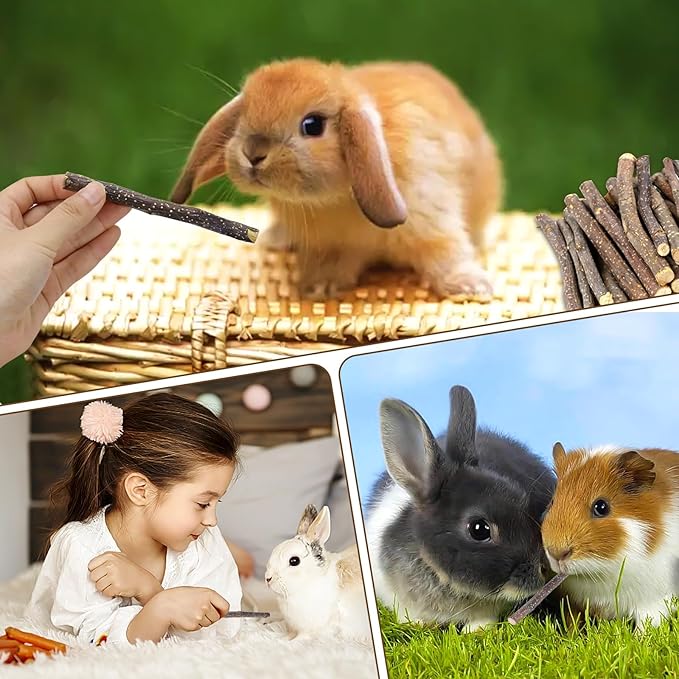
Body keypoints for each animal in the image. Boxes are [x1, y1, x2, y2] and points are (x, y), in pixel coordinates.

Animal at [170, 58, 502, 299]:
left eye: (313, 125)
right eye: (243, 117)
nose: (253, 153)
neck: (337, 197)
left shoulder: (432, 220)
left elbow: (447, 253)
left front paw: (472, 287)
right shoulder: (329, 244)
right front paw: (319, 289)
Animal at [541, 442, 679, 630]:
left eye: (601, 507)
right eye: (552, 502)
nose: (556, 553)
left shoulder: (653, 603)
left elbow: (646, 626)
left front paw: (638, 636)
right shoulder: (573, 602)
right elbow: (572, 622)